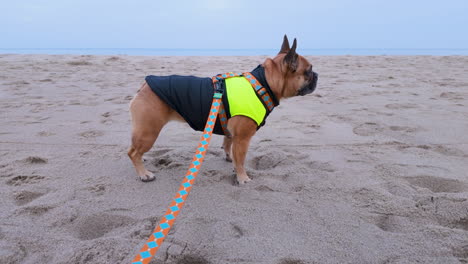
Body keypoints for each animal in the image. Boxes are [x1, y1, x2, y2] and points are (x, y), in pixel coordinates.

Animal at [128, 34, 318, 184]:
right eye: (308, 71)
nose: (317, 75)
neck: (263, 83)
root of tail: (146, 85)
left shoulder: (231, 133)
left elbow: (228, 145)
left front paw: (229, 159)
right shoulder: (243, 138)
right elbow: (241, 160)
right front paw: (242, 178)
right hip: (149, 131)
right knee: (133, 153)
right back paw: (144, 174)